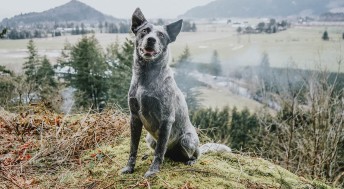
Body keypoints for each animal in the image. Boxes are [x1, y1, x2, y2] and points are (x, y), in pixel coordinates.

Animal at [121, 7, 231, 179]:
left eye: (161, 35)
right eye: (145, 31)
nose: (151, 40)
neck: (146, 78)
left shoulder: (166, 119)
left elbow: (159, 151)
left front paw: (153, 170)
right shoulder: (134, 117)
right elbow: (133, 148)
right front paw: (129, 167)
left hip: (186, 140)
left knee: (193, 154)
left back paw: (191, 160)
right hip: (149, 138)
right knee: (162, 151)